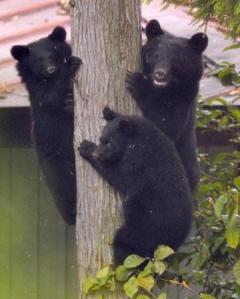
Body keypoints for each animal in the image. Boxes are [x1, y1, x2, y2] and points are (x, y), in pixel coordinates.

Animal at [11, 27, 81, 225]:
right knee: (64, 187)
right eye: (38, 60)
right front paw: (71, 65)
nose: (51, 69)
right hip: (55, 164)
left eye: (53, 53)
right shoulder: (38, 93)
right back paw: (71, 212)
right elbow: (51, 97)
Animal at [79, 107, 192, 264]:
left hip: (144, 228)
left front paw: (86, 148)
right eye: (101, 139)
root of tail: (173, 241)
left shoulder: (138, 159)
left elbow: (119, 175)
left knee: (124, 242)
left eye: (109, 142)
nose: (97, 155)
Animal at [127, 19, 208, 193]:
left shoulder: (184, 101)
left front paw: (139, 85)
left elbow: (164, 126)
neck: (164, 90)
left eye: (177, 60)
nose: (160, 74)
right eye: (155, 55)